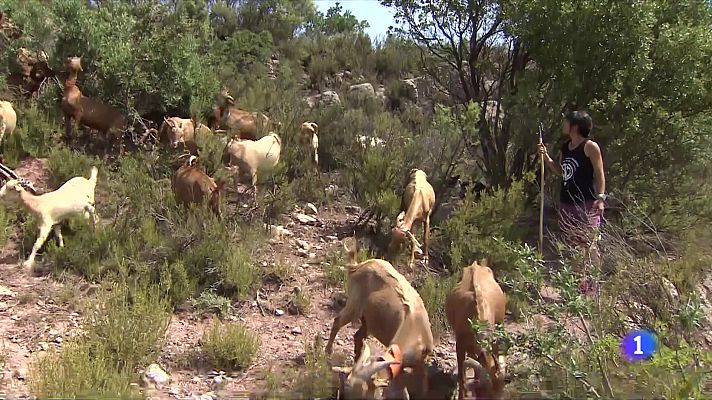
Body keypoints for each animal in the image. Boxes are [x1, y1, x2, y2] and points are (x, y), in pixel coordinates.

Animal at [326, 238, 434, 396]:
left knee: (357, 336)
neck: (415, 326)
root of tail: (357, 266)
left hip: (367, 320)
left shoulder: (420, 362)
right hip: (354, 305)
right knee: (338, 321)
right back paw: (328, 352)